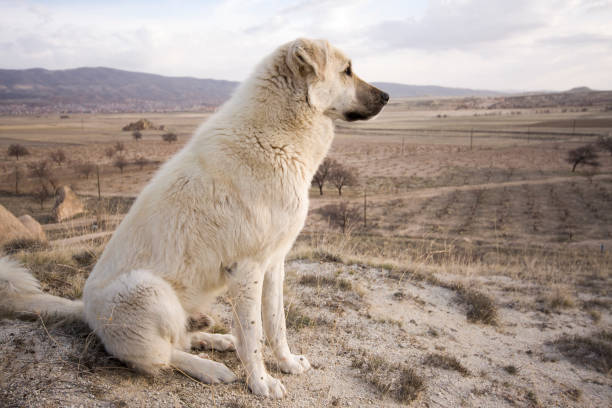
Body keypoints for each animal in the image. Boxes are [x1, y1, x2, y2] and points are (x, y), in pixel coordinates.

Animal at [1, 37, 388, 396]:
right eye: (347, 70)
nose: (386, 96)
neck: (278, 135)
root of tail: (84, 309)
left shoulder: (274, 263)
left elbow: (276, 325)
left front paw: (287, 363)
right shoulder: (246, 269)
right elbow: (253, 335)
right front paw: (261, 382)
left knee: (180, 340)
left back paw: (214, 341)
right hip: (148, 289)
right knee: (160, 356)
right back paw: (209, 368)